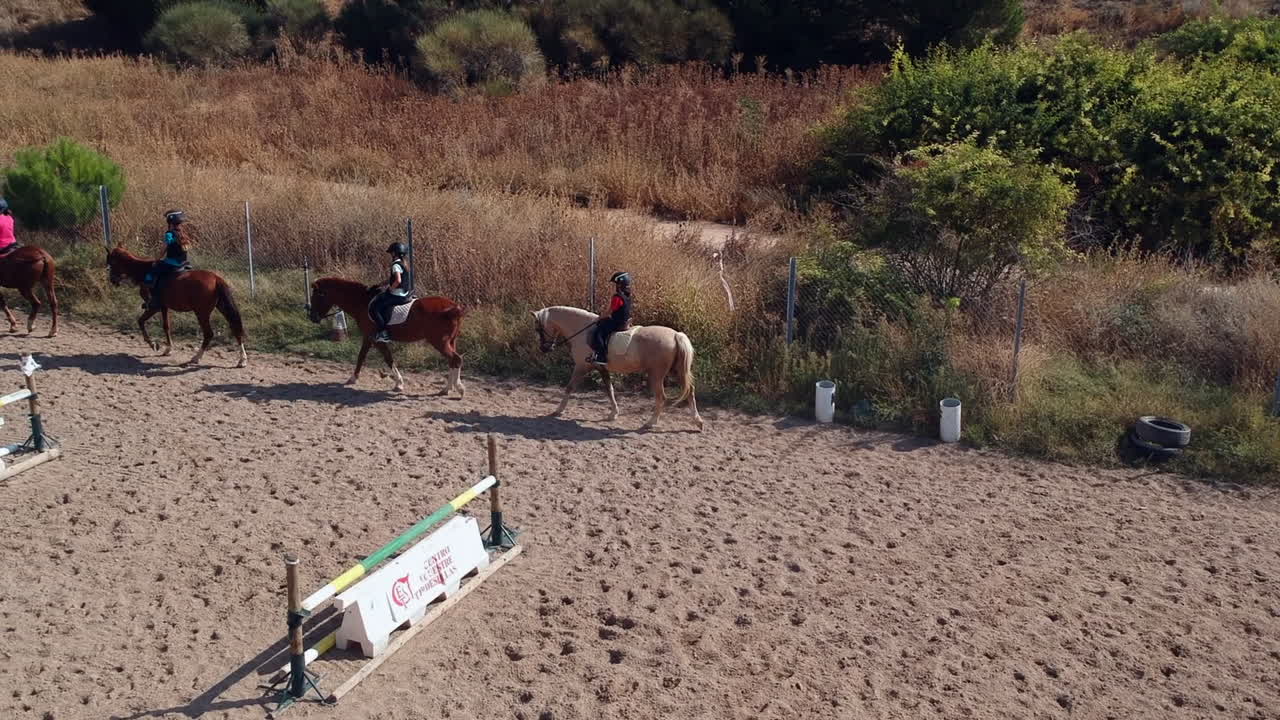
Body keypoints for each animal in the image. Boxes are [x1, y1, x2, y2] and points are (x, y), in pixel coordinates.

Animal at [106, 245, 248, 368]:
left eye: (111, 263)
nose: (112, 280)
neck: (145, 271)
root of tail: (216, 278)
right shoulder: (164, 307)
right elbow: (166, 326)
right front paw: (168, 349)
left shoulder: (154, 307)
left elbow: (140, 321)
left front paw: (153, 344)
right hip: (222, 308)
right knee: (235, 329)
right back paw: (242, 360)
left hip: (201, 313)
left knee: (209, 334)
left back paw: (196, 357)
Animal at [307, 277, 468, 396]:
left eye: (317, 296)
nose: (312, 317)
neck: (362, 302)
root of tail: (454, 307)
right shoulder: (368, 337)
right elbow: (361, 356)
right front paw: (353, 378)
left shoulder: (376, 339)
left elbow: (388, 358)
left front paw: (399, 384)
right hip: (451, 341)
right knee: (453, 361)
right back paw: (449, 388)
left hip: (439, 341)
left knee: (455, 359)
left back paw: (455, 389)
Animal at [531, 305, 703, 430]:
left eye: (538, 329)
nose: (544, 348)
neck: (582, 330)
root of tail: (676, 335)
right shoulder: (601, 368)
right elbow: (610, 390)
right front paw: (613, 414)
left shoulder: (581, 366)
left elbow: (569, 387)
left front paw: (558, 410)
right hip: (676, 371)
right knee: (690, 391)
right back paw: (698, 422)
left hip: (657, 375)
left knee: (661, 397)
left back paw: (650, 423)